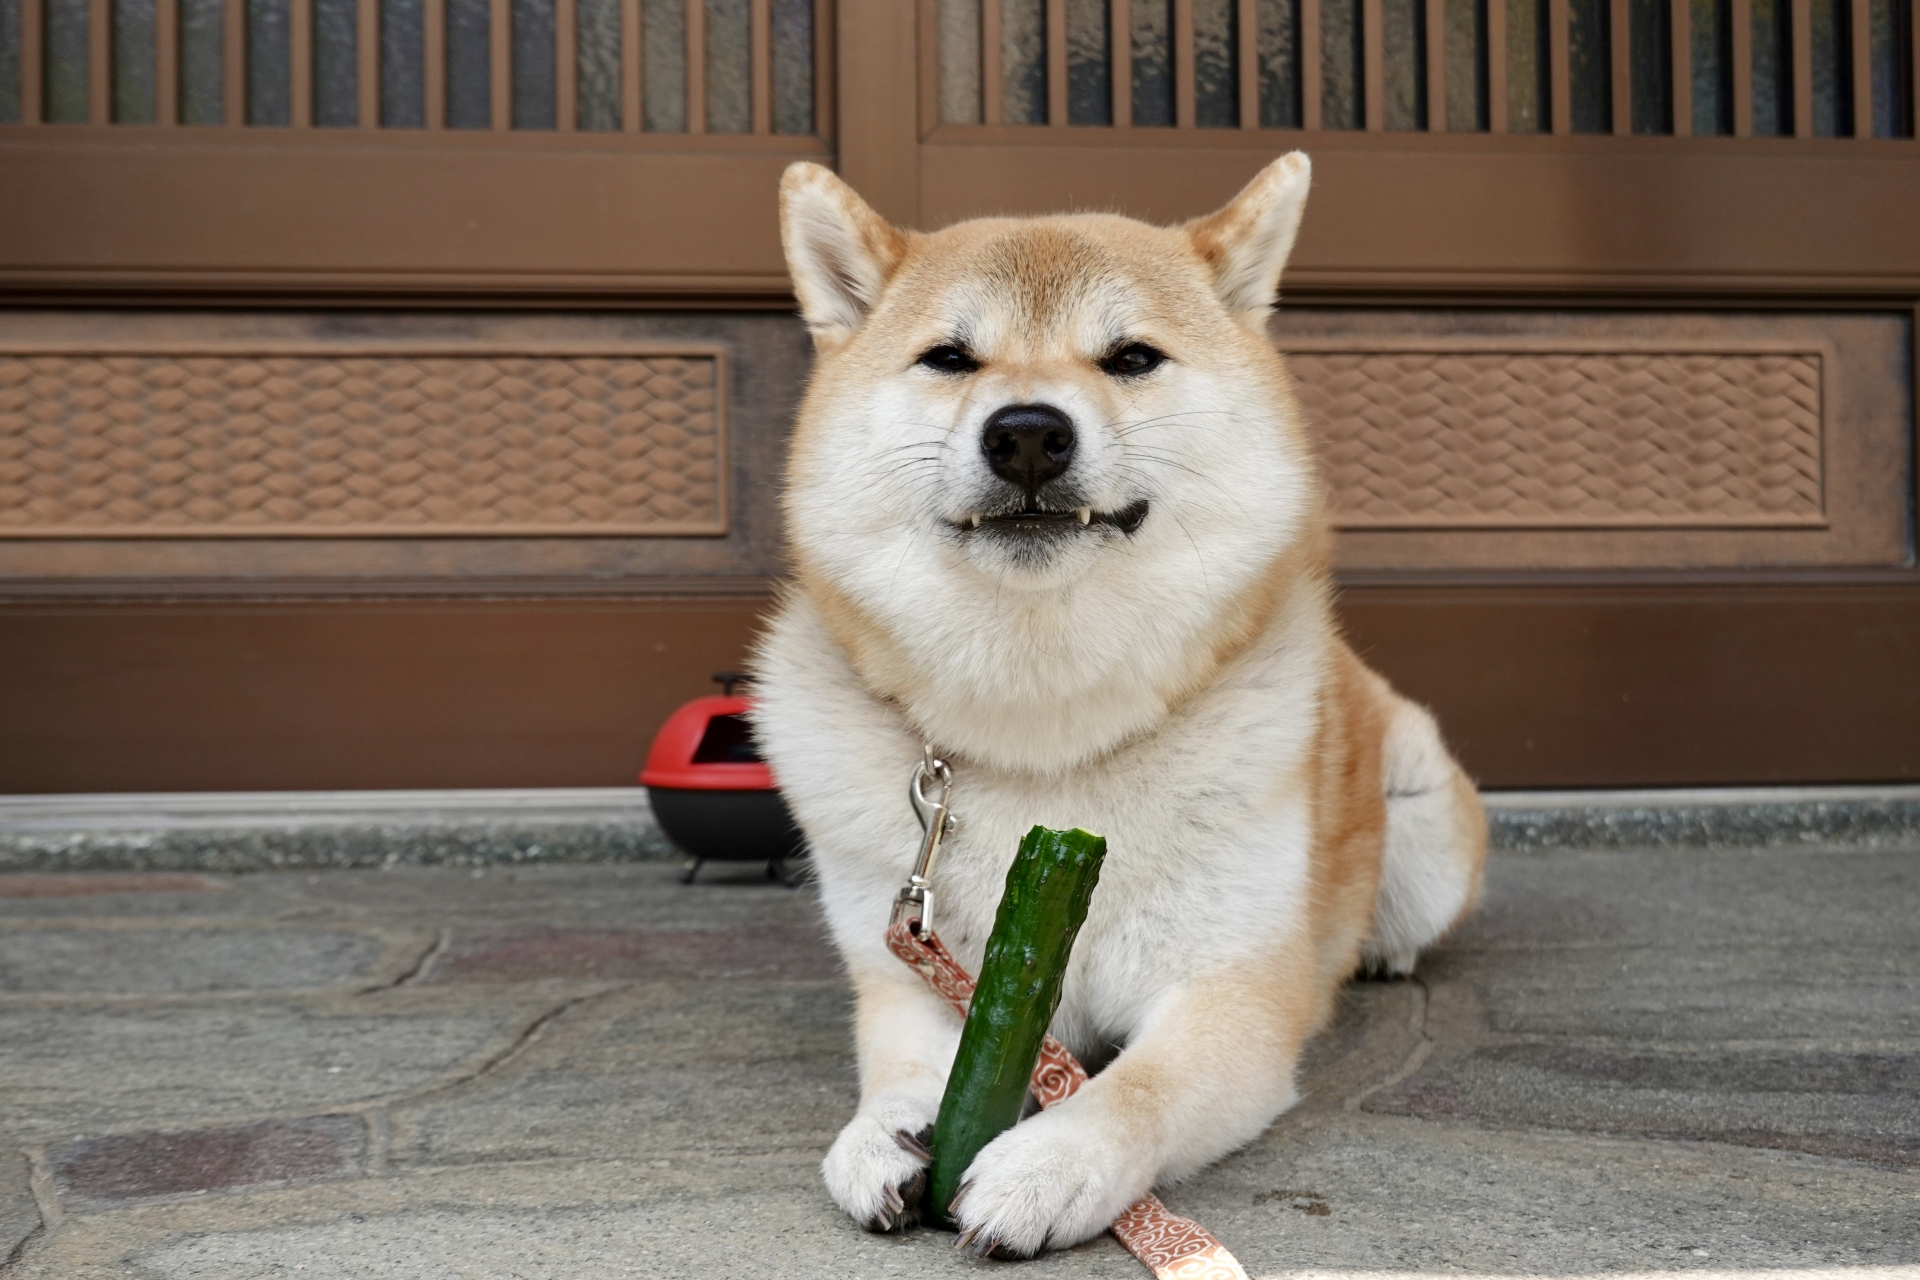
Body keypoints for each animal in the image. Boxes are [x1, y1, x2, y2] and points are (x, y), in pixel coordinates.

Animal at [748, 152, 1482, 1258]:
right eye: (950, 358)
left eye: (1131, 357)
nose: (1027, 433)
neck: (1049, 738)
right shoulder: (913, 967)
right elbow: (903, 1069)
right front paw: (880, 1134)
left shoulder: (1231, 991)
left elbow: (1139, 1090)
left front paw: (1053, 1162)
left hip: (1421, 821)